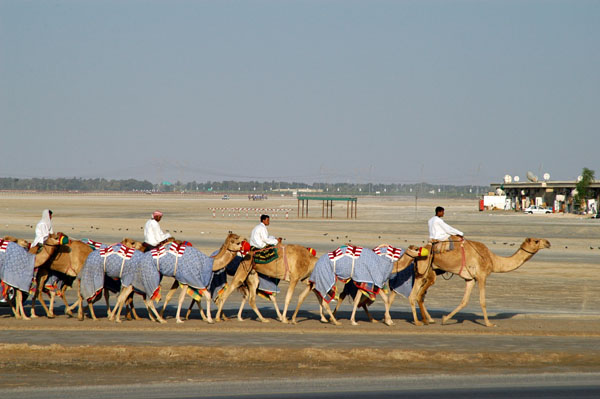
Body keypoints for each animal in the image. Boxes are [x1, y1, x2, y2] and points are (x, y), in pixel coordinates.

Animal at [412, 238, 552, 328]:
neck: (493, 260)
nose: (548, 242)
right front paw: (489, 324)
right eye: (536, 241)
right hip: (427, 270)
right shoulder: (482, 276)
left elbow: (464, 301)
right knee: (419, 295)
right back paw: (424, 320)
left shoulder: (470, 279)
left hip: (424, 272)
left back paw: (426, 320)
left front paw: (445, 319)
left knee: (416, 295)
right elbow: (482, 301)